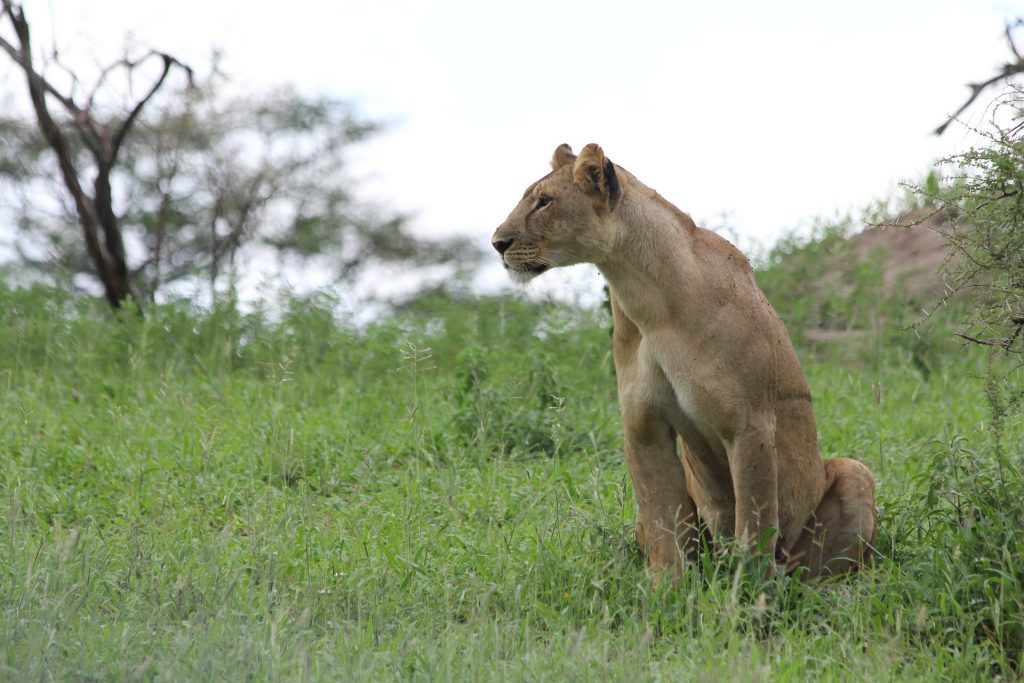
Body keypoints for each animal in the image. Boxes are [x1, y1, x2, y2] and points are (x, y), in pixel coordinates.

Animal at [492, 143, 877, 583]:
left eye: (544, 202)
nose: (497, 243)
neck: (646, 297)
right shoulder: (643, 426)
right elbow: (664, 524)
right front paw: (666, 593)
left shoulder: (750, 423)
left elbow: (755, 525)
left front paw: (748, 595)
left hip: (854, 472)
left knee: (827, 570)